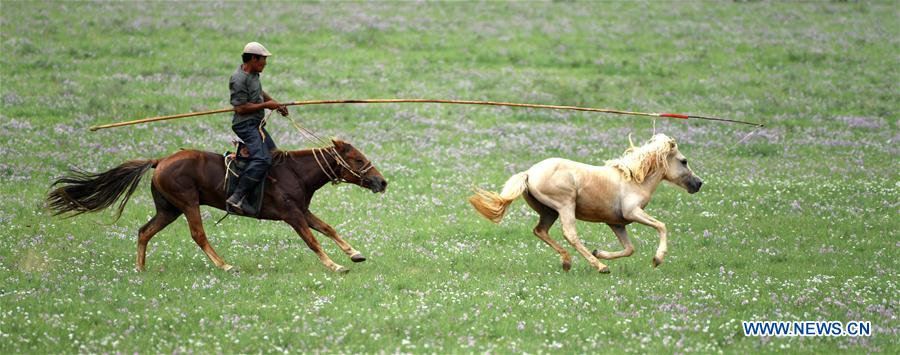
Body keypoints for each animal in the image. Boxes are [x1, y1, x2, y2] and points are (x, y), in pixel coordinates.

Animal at [48, 138, 386, 272]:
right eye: (357, 159)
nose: (382, 182)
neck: (294, 172)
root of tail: (159, 161)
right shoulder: (292, 215)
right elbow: (313, 240)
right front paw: (335, 266)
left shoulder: (302, 211)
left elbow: (328, 228)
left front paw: (354, 253)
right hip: (188, 204)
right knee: (198, 235)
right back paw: (225, 265)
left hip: (168, 209)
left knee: (144, 231)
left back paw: (140, 269)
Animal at [472, 134, 704, 272]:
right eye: (684, 161)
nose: (698, 183)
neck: (634, 179)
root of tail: (529, 173)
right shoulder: (632, 212)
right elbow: (661, 226)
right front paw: (657, 259)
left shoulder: (616, 223)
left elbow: (629, 249)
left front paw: (599, 252)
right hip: (565, 205)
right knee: (570, 235)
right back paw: (599, 267)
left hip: (549, 212)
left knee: (540, 231)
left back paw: (568, 261)